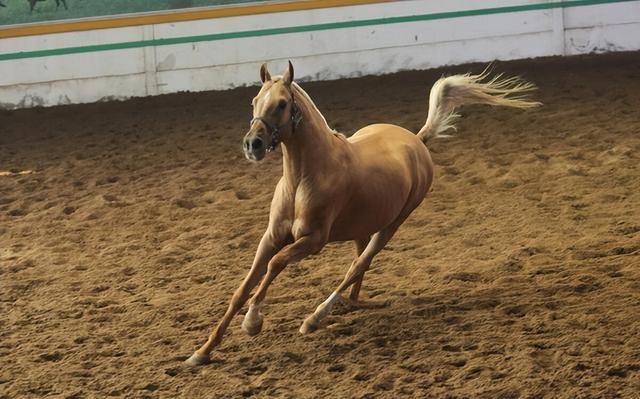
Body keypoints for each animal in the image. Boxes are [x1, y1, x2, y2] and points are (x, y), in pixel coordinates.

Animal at [185, 60, 540, 366]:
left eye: (282, 104)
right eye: (254, 101)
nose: (252, 145)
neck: (305, 177)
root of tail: (418, 140)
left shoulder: (313, 241)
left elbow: (275, 265)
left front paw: (253, 322)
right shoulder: (271, 236)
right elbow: (241, 290)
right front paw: (202, 352)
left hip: (393, 224)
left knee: (359, 265)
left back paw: (315, 318)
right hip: (364, 225)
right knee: (358, 267)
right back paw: (350, 305)